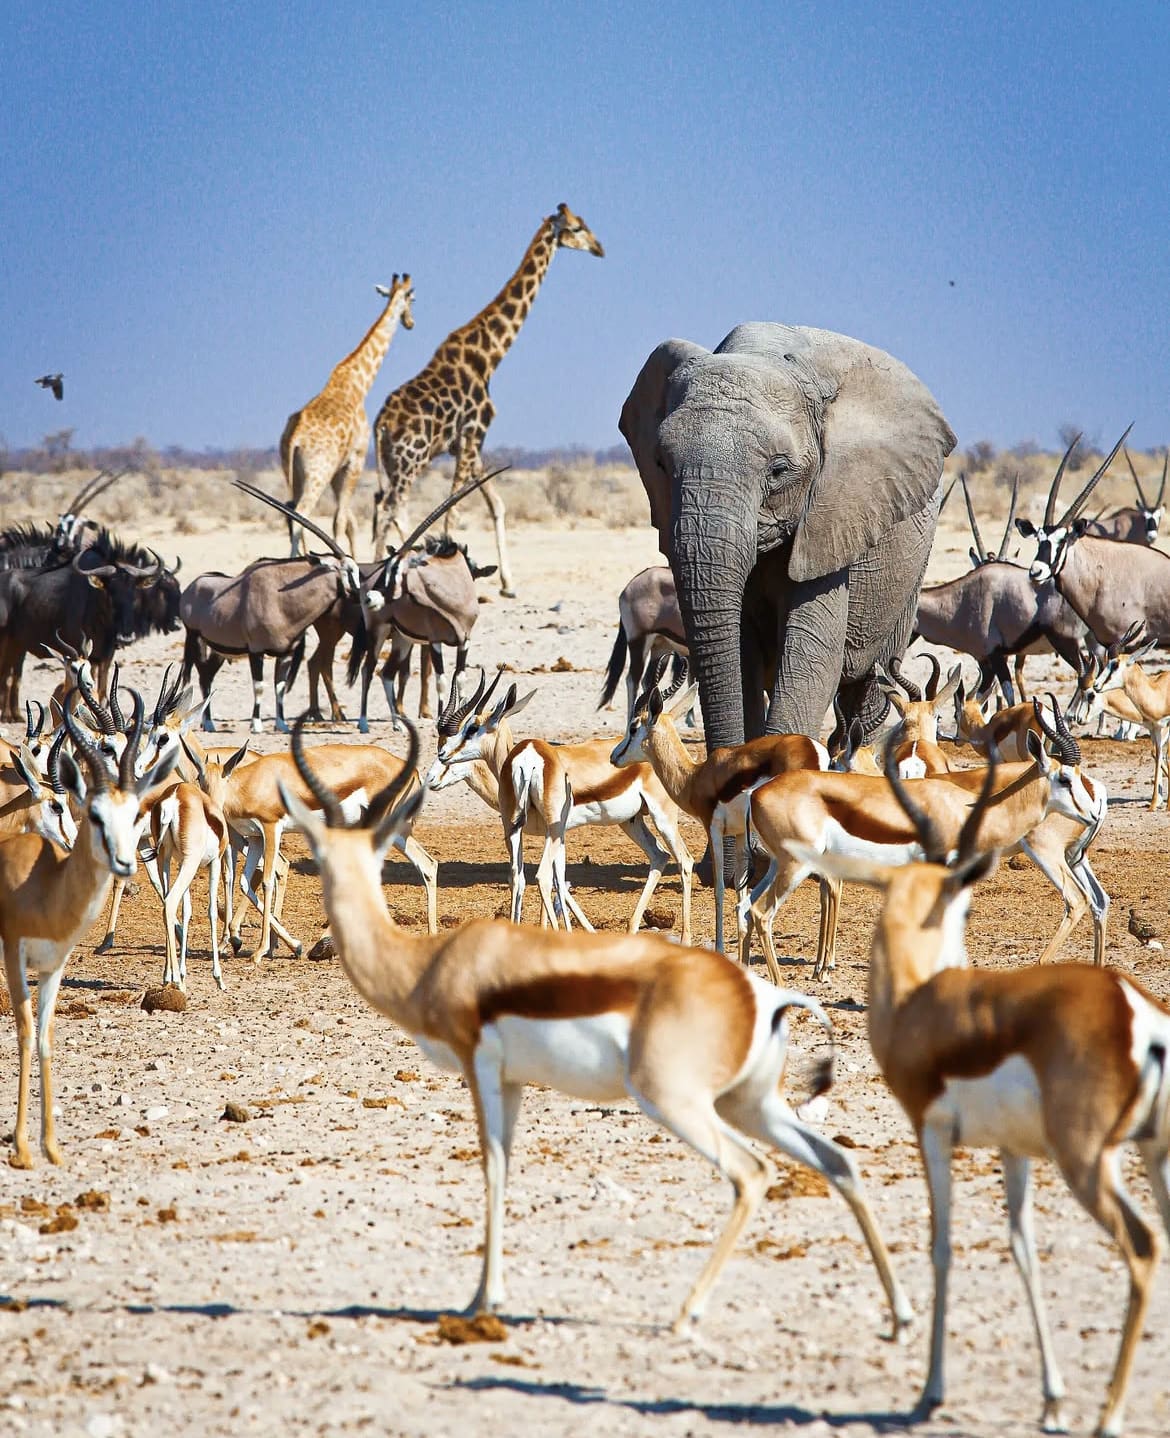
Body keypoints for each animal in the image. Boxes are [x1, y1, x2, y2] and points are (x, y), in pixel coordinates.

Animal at [280, 274, 416, 555]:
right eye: (413, 299)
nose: (410, 322)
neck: (359, 384)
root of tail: (294, 437)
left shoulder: (339, 468)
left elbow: (349, 522)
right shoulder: (356, 459)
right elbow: (340, 520)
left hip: (293, 473)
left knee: (290, 513)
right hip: (316, 473)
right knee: (301, 514)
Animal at [370, 204, 603, 595]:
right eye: (576, 228)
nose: (600, 248)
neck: (490, 355)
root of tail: (381, 423)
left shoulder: (467, 444)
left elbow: (496, 504)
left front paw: (508, 582)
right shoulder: (473, 434)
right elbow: (452, 512)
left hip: (389, 462)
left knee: (381, 507)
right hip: (411, 459)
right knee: (392, 508)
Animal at [618, 326, 960, 753]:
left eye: (779, 470)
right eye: (660, 464)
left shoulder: (834, 514)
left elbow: (811, 656)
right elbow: (740, 653)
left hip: (908, 579)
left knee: (869, 685)